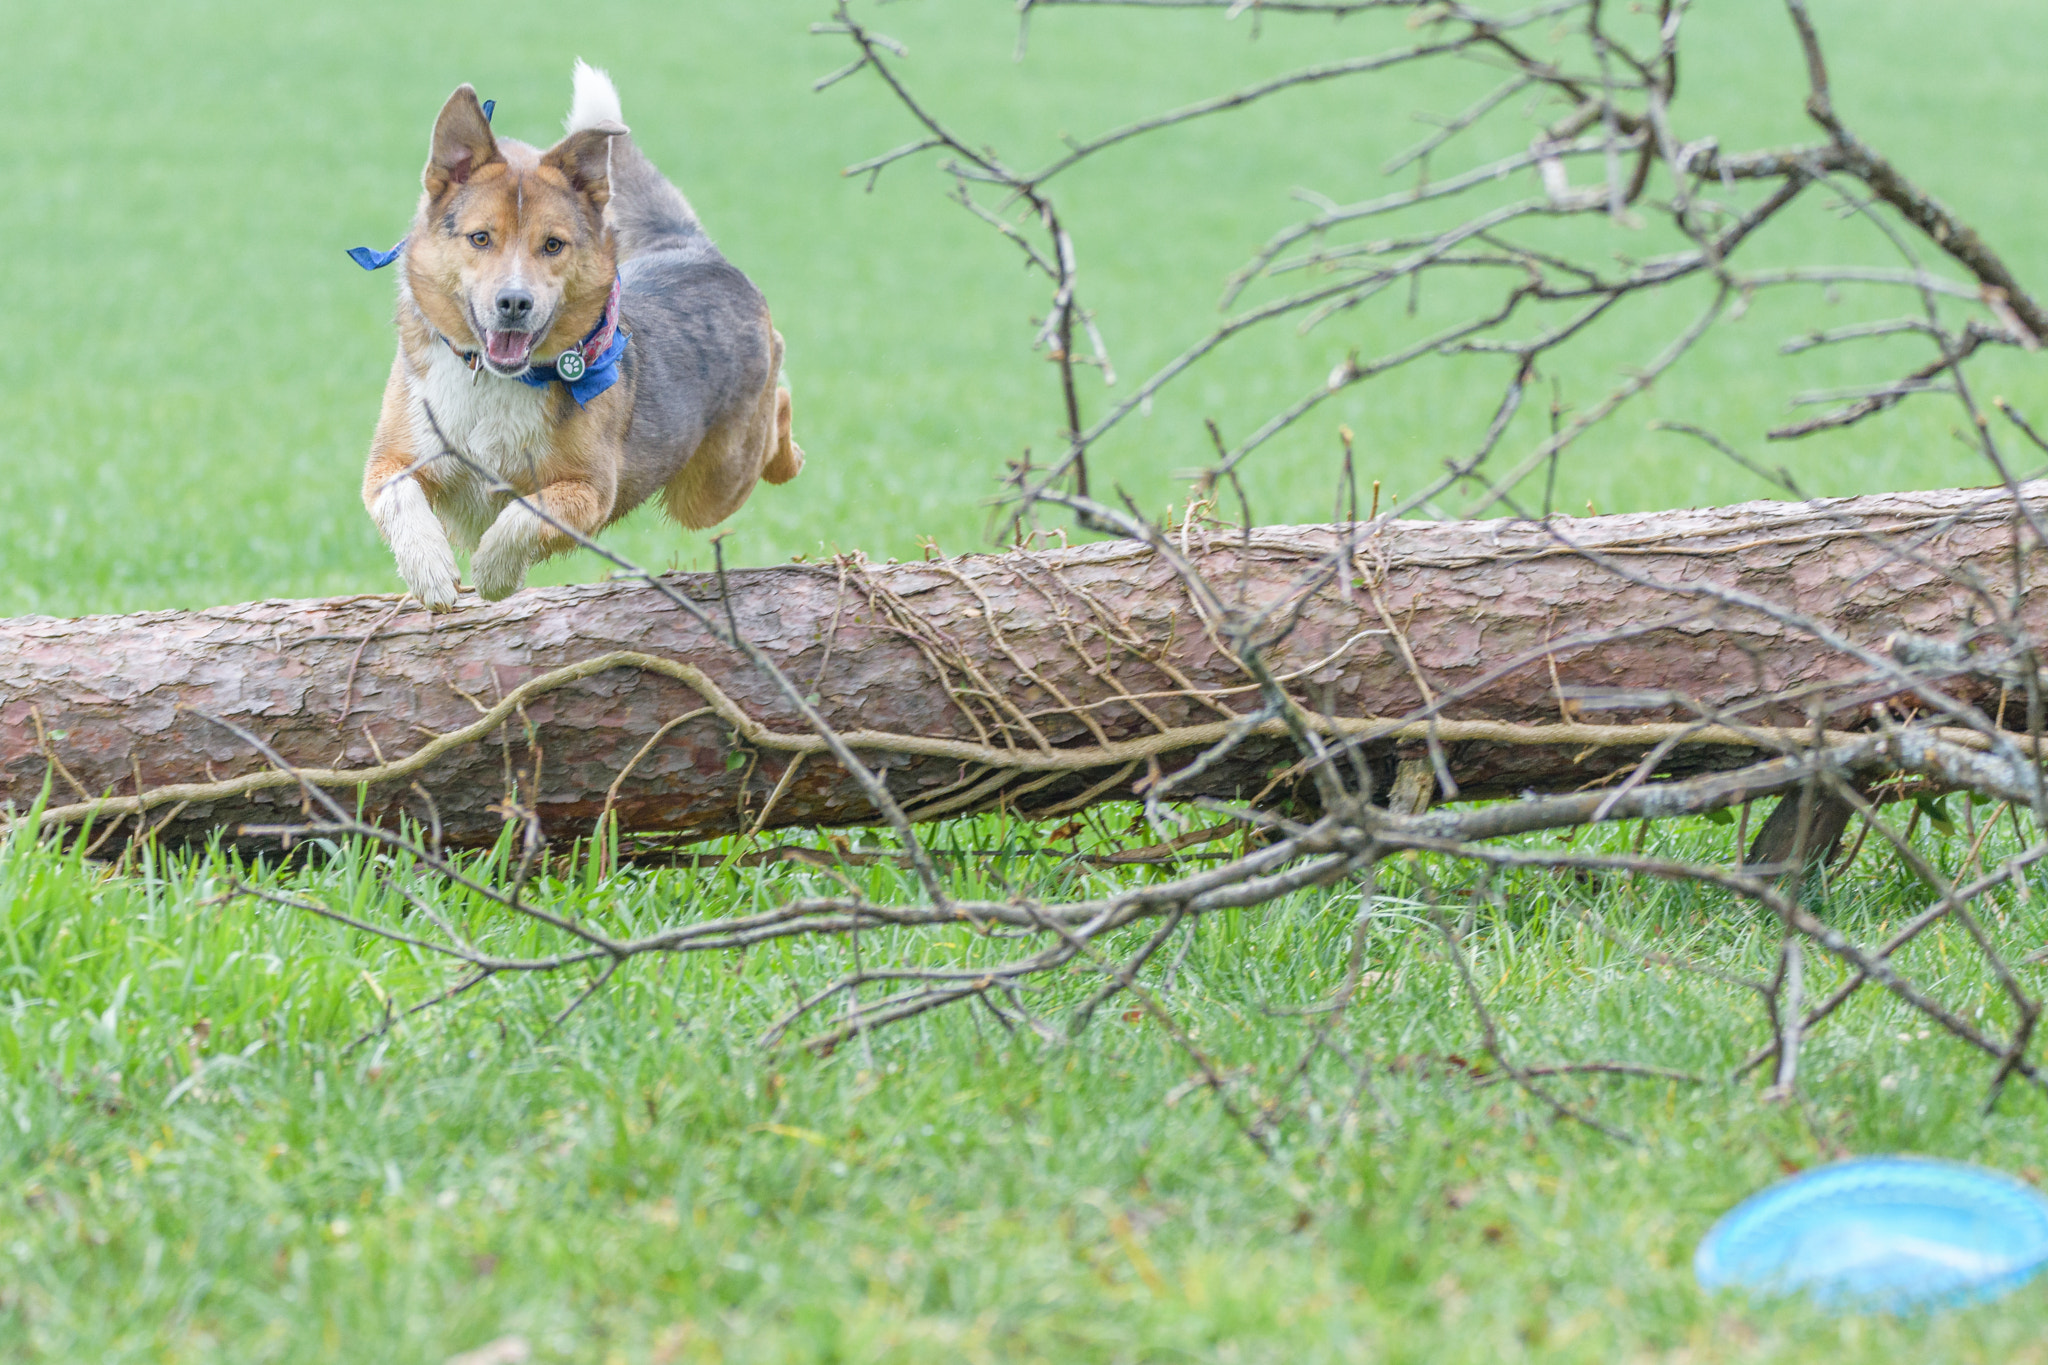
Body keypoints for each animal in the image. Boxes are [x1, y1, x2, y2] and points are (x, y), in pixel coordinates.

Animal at [352, 62, 798, 609]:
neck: (500, 379)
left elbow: (523, 516)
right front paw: (431, 571)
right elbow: (400, 495)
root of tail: (690, 248)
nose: (514, 303)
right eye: (481, 238)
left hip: (713, 482)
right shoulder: (391, 461)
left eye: (552, 245)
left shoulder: (588, 490)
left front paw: (494, 573)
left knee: (777, 412)